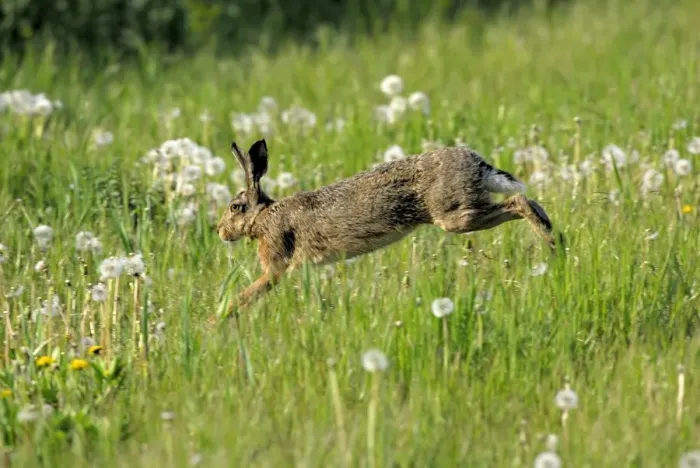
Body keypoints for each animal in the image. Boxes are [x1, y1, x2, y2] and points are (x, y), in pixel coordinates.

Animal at [217, 139, 562, 311]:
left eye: (235, 207)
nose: (219, 231)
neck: (262, 216)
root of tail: (477, 164)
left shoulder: (275, 266)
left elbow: (247, 295)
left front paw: (217, 321)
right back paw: (554, 234)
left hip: (455, 216)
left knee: (518, 202)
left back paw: (551, 241)